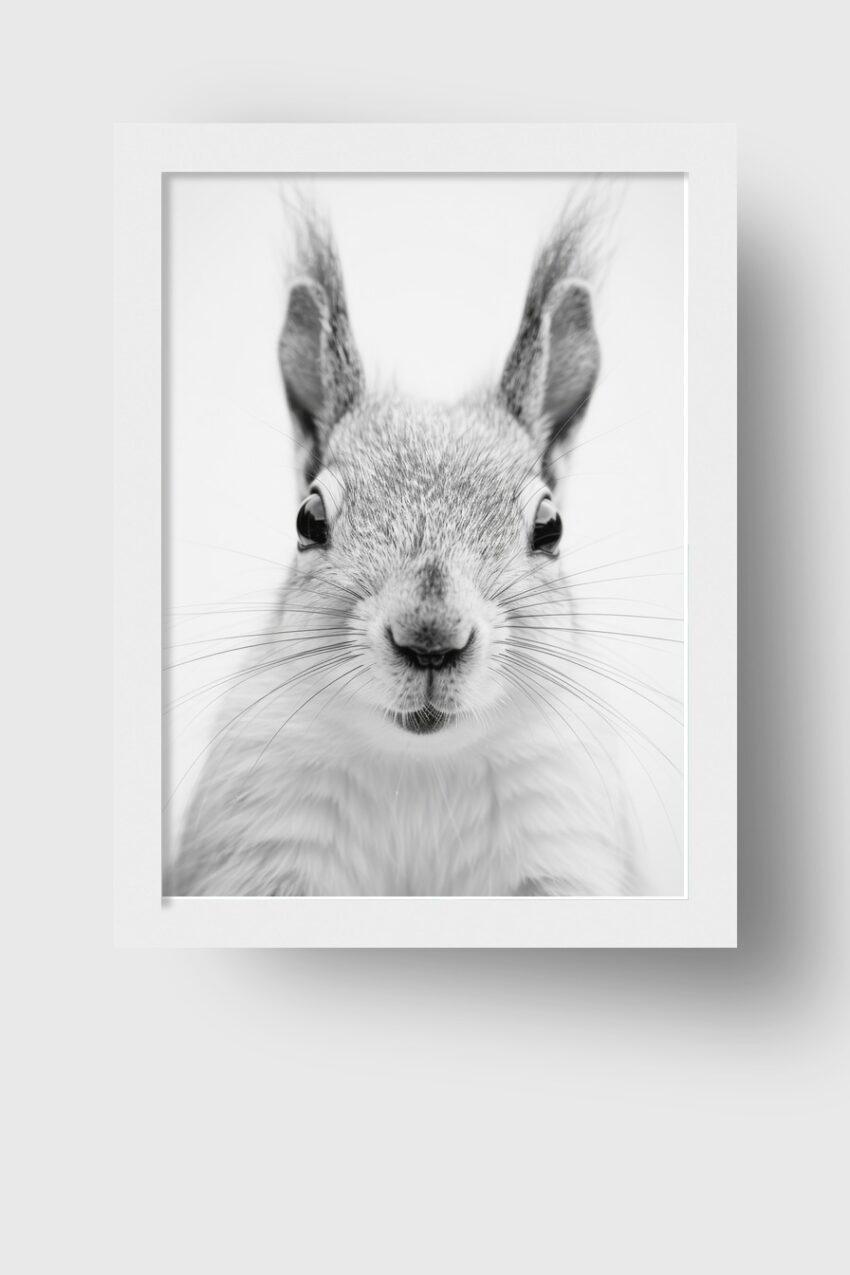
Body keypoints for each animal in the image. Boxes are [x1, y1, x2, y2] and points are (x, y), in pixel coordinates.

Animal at [171, 199, 638, 897]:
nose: (430, 639)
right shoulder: (262, 838)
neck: (421, 768)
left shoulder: (562, 838)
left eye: (550, 525)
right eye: (308, 518)